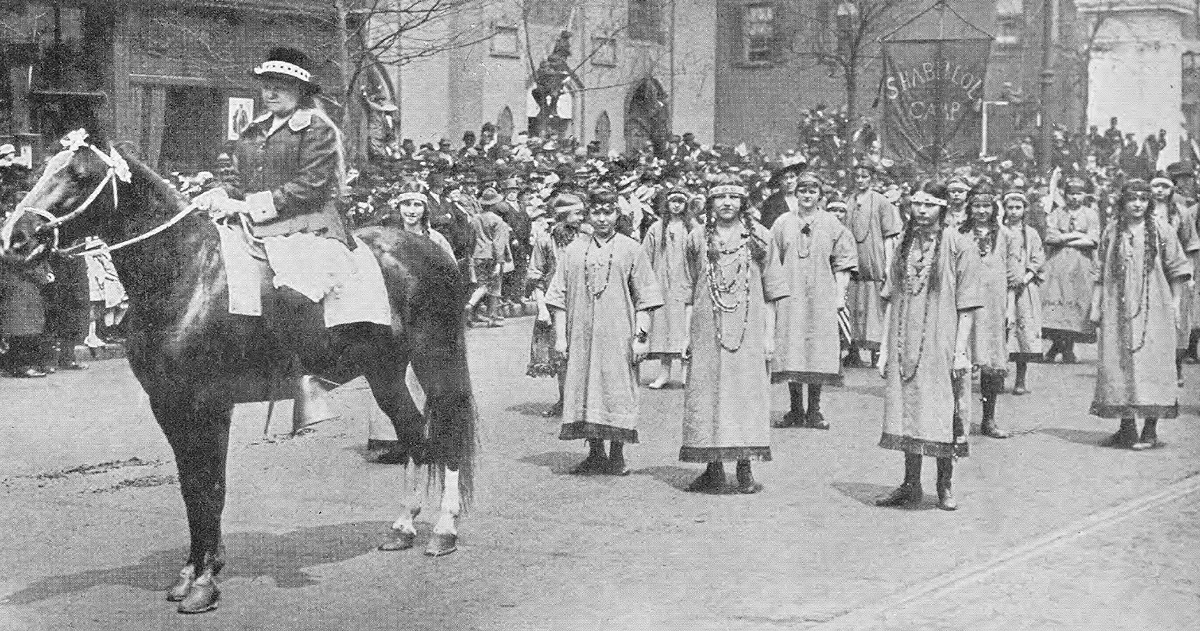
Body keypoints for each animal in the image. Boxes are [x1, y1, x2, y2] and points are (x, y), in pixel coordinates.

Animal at [1, 136, 477, 614]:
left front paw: (204, 582)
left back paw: (444, 531)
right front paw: (191, 572)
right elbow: (191, 488)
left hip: (436, 359)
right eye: (42, 169)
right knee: (414, 434)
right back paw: (402, 527)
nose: (16, 240)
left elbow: (211, 487)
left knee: (448, 438)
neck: (187, 273)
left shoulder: (210, 403)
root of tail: (429, 247)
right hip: (384, 371)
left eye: (79, 175)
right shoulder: (168, 404)